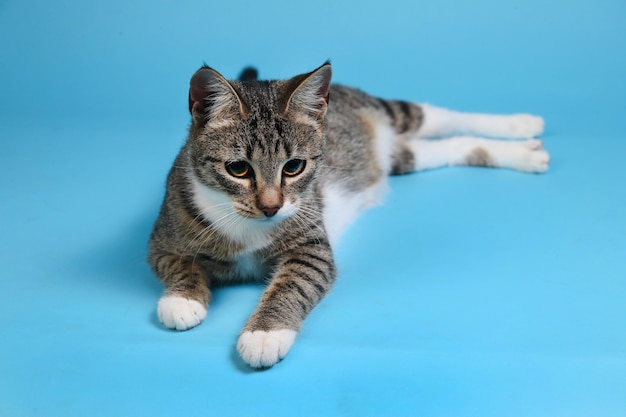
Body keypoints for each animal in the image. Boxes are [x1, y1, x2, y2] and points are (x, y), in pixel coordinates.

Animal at [146, 61, 544, 368]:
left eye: (294, 167)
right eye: (238, 169)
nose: (272, 206)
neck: (245, 223)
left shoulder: (313, 248)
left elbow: (292, 283)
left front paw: (264, 334)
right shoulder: (163, 236)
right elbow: (180, 264)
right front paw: (181, 300)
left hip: (390, 112)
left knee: (436, 115)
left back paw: (521, 125)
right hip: (402, 157)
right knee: (450, 146)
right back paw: (521, 151)